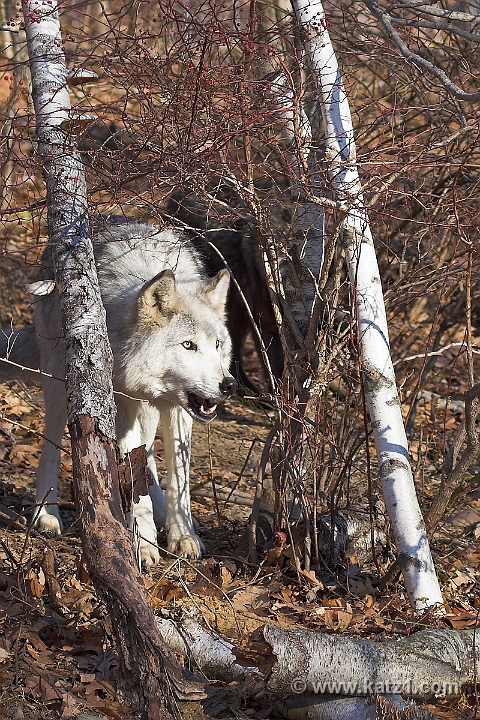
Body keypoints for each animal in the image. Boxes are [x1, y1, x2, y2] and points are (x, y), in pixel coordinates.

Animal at [0, 221, 236, 565]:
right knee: (51, 447)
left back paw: (162, 512)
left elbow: (178, 479)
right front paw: (144, 545)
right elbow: (134, 478)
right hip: (61, 385)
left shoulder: (178, 409)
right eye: (188, 345)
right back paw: (47, 515)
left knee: (148, 457)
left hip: (148, 410)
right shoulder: (119, 403)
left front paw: (183, 536)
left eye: (217, 345)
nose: (229, 385)